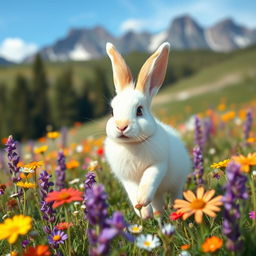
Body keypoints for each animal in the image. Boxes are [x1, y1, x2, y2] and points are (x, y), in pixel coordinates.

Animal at [103, 41, 190, 218]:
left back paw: (175, 210)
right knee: (158, 202)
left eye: (139, 110)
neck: (131, 145)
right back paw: (156, 214)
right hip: (159, 194)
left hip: (177, 182)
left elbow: (149, 180)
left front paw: (142, 200)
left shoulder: (158, 165)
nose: (121, 126)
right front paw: (142, 211)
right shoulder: (127, 178)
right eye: (112, 112)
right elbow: (132, 191)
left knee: (175, 194)